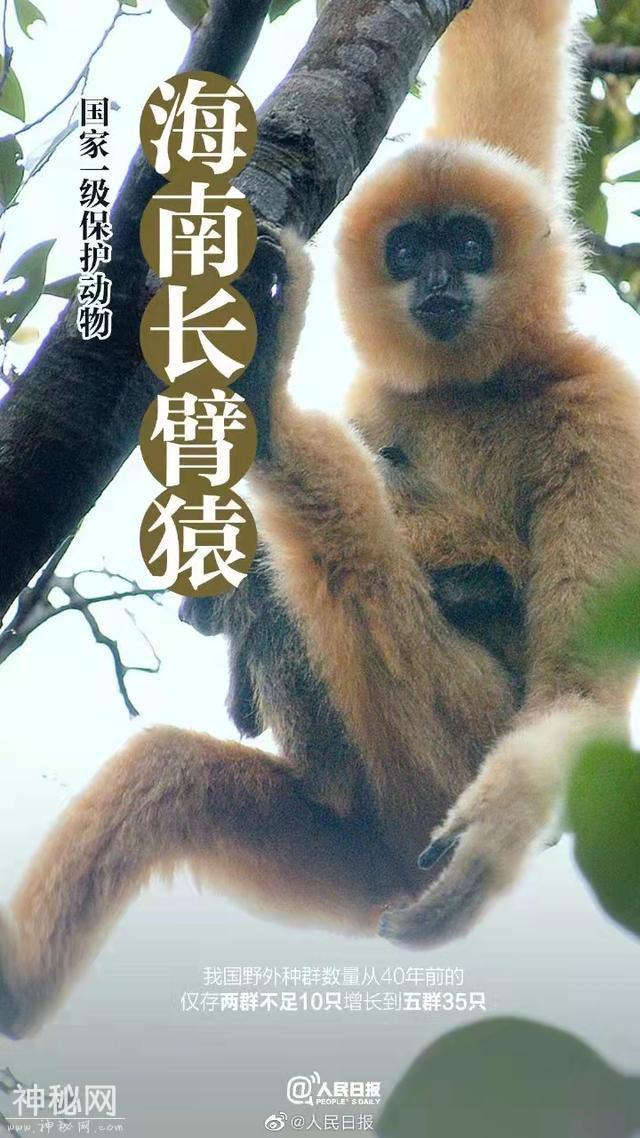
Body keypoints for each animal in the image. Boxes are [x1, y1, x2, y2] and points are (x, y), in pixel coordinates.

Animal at [1, 0, 639, 1040]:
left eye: (468, 244)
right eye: (410, 250)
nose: (437, 283)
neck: (472, 385)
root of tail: (379, 864)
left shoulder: (601, 412)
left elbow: (575, 694)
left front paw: (493, 840)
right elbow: (508, 69)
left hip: (450, 752)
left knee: (346, 549)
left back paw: (268, 410)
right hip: (323, 849)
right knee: (169, 770)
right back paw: (17, 988)